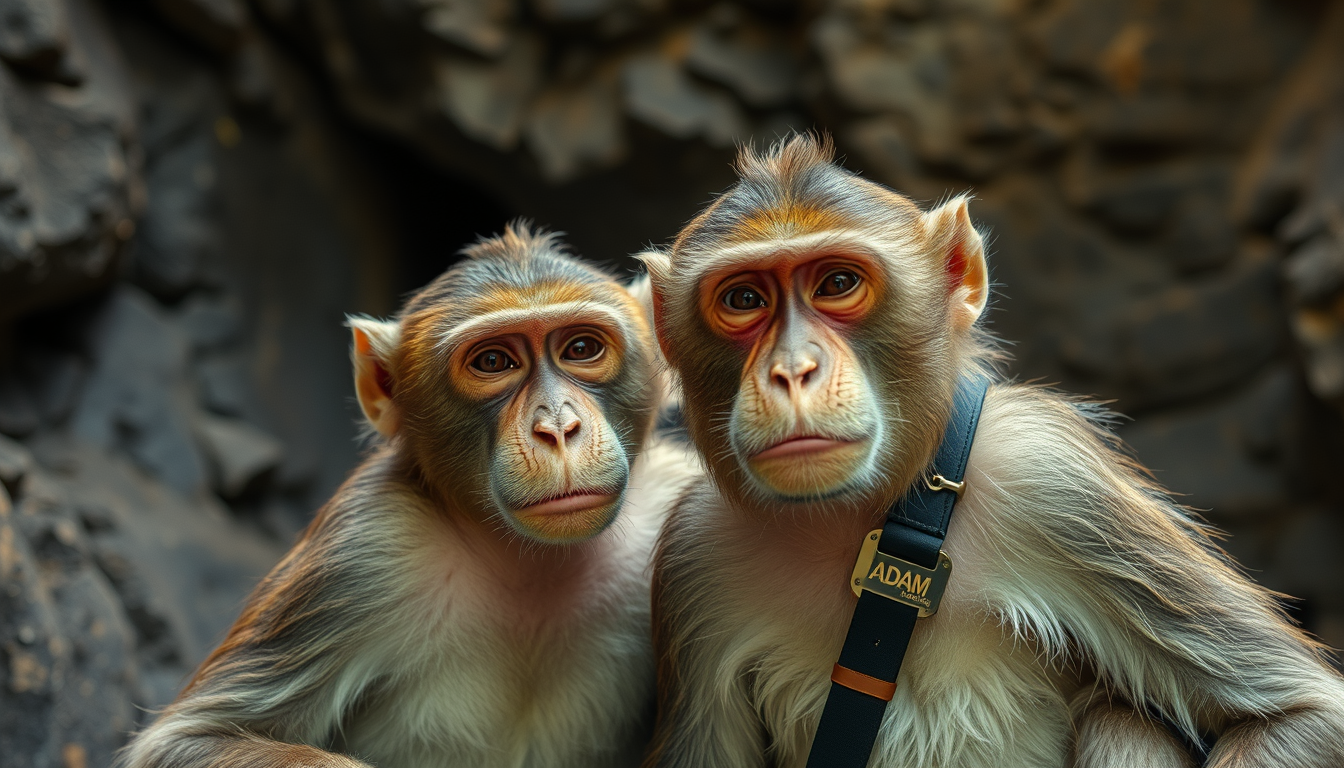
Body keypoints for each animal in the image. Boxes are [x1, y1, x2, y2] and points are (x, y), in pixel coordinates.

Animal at [117, 223, 702, 768]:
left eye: (581, 348)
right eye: (494, 362)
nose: (557, 427)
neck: (532, 563)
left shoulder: (677, 501)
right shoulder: (364, 545)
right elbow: (189, 739)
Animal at [637, 135, 1344, 768]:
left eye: (837, 282)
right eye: (744, 299)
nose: (791, 370)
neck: (857, 516)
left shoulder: (1050, 476)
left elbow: (1308, 713)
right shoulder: (695, 556)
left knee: (1125, 719)